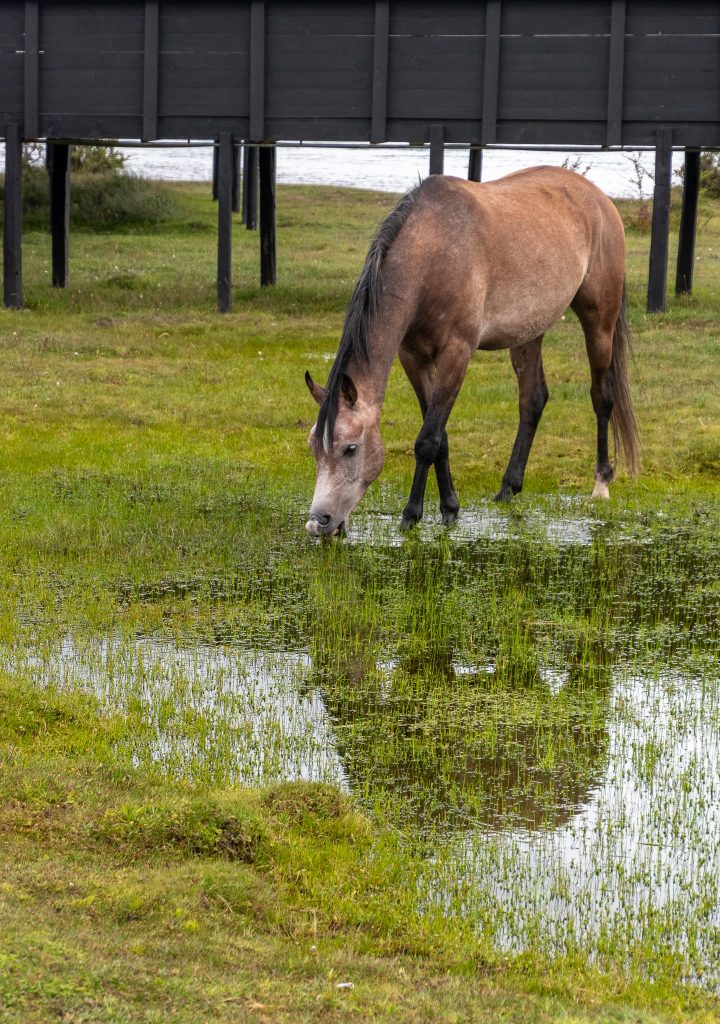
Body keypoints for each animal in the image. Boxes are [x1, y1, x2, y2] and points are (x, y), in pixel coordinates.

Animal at [304, 166, 639, 537]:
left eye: (350, 449)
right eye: (313, 447)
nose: (319, 522)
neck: (433, 254)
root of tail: (598, 198)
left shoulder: (457, 354)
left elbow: (428, 440)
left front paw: (412, 515)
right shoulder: (413, 358)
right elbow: (440, 435)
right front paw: (449, 508)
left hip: (599, 322)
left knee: (602, 397)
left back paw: (601, 483)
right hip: (528, 334)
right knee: (532, 400)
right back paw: (508, 488)